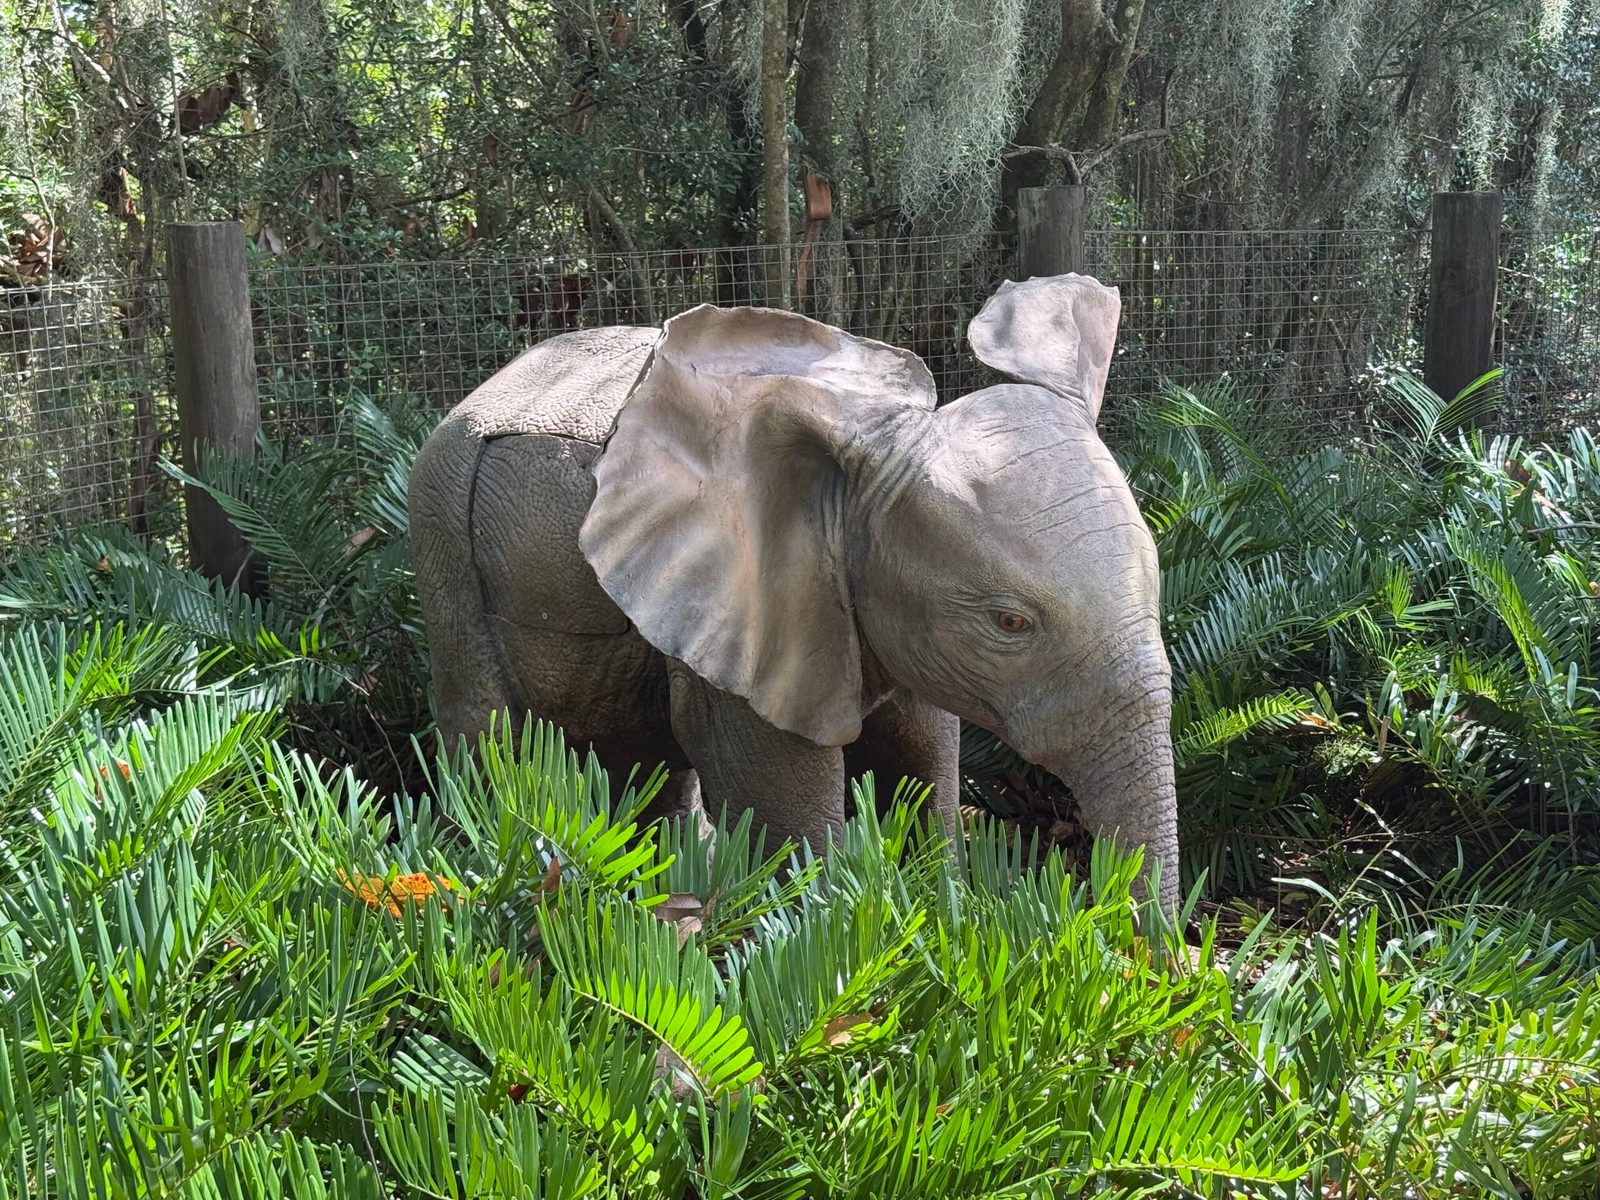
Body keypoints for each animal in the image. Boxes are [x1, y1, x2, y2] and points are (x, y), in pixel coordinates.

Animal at [407, 273, 1179, 909]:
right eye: (1009, 623)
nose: (1159, 970)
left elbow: (923, 761)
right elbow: (782, 793)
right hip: (442, 535)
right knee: (487, 730)